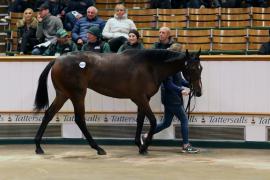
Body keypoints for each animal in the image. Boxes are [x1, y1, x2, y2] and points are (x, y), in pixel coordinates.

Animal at [33, 48, 201, 155]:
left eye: (201, 68)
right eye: (192, 69)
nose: (198, 92)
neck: (149, 66)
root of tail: (57, 59)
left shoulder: (143, 99)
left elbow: (140, 121)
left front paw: (140, 144)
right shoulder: (139, 98)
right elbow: (153, 121)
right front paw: (144, 146)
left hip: (63, 94)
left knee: (48, 114)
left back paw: (38, 147)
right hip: (78, 94)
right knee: (79, 119)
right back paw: (98, 148)